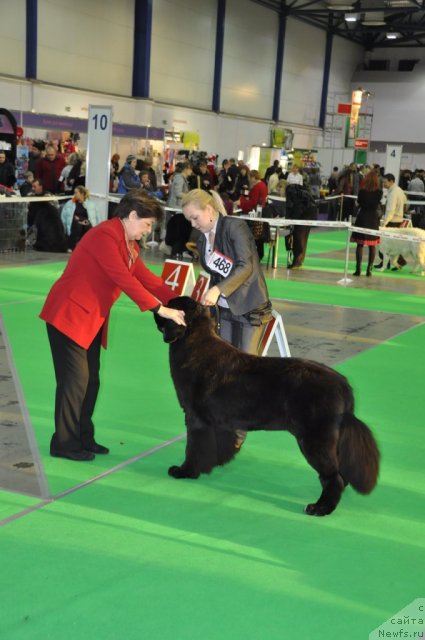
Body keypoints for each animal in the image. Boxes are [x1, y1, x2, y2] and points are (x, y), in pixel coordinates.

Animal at [154, 296, 380, 516]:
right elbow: (219, 444)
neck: (194, 343)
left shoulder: (195, 417)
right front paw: (217, 462)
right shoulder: (220, 422)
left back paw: (319, 508)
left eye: (170, 305)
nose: (156, 310)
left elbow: (193, 447)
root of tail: (343, 384)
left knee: (333, 476)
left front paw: (185, 471)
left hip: (315, 439)